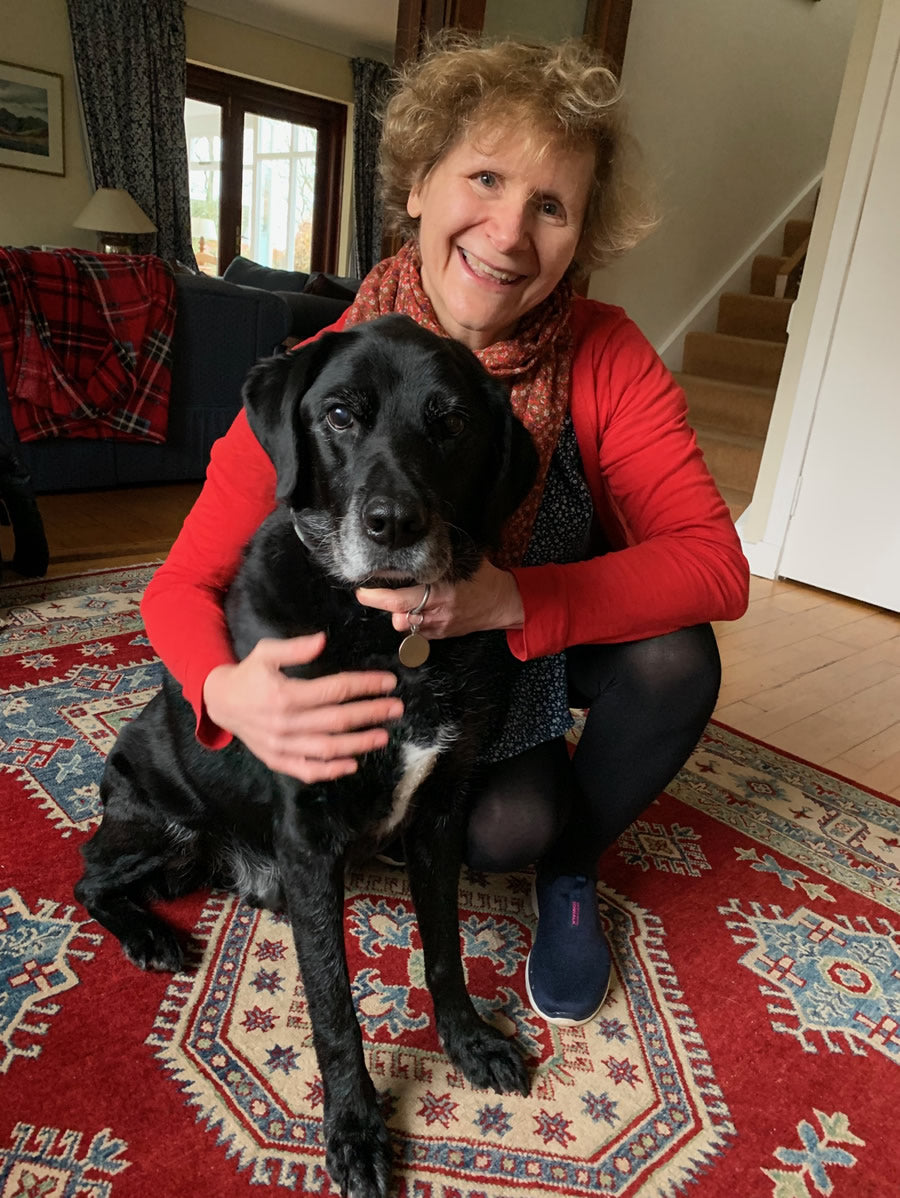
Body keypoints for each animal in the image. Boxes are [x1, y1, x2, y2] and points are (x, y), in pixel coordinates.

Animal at [75, 316, 534, 1198]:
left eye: (453, 422)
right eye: (340, 415)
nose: (394, 524)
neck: (388, 630)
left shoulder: (441, 811)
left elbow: (446, 950)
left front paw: (469, 1041)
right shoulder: (310, 834)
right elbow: (331, 1004)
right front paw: (355, 1130)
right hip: (164, 823)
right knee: (88, 877)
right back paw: (149, 936)